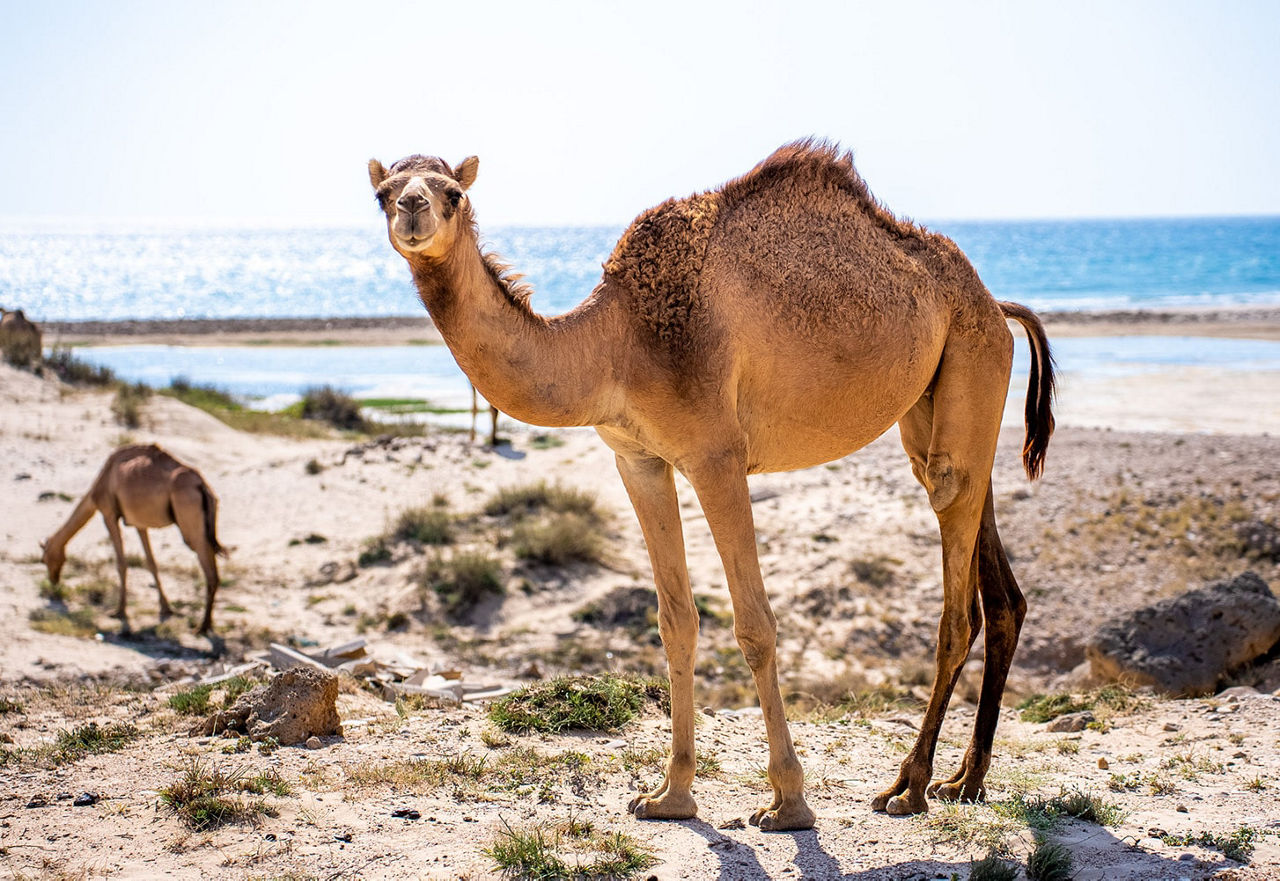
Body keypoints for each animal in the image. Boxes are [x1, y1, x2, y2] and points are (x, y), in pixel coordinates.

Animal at [41, 448, 227, 632]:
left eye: (44, 559)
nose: (53, 581)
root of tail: (201, 486)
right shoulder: (140, 524)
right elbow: (151, 563)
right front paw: (165, 609)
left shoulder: (108, 513)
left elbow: (121, 564)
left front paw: (119, 612)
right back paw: (207, 624)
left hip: (189, 522)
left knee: (209, 569)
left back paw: (202, 627)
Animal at [371, 140, 1059, 829]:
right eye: (382, 193)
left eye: (452, 192)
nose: (411, 208)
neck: (616, 344)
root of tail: (994, 303)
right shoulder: (638, 460)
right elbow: (675, 621)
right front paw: (670, 796)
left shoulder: (717, 455)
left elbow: (754, 626)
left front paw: (789, 803)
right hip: (935, 404)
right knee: (998, 585)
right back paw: (964, 780)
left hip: (970, 360)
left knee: (956, 596)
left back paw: (908, 786)